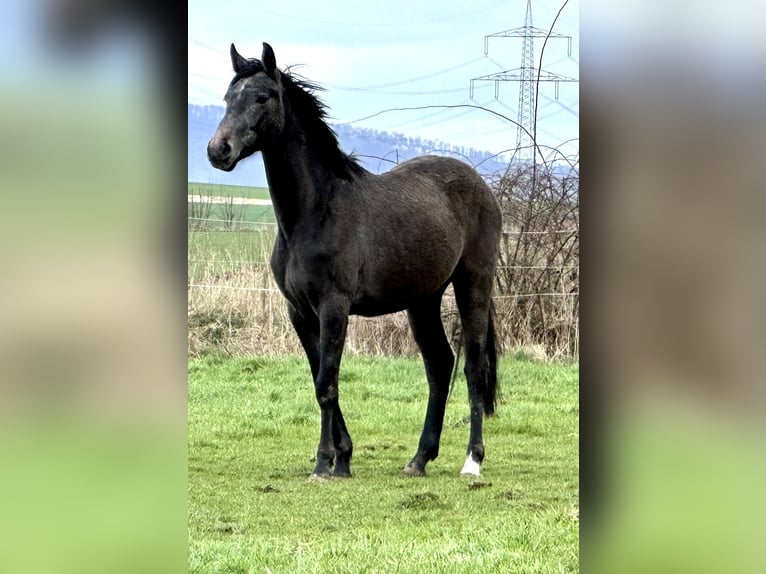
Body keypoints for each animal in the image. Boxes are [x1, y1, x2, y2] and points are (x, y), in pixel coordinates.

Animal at [208, 41, 504, 482]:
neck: (315, 212)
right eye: (229, 98)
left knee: (473, 367)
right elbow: (321, 380)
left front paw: (323, 464)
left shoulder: (334, 307)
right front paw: (342, 458)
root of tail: (480, 185)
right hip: (423, 299)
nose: (218, 151)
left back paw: (472, 460)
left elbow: (327, 383)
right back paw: (419, 459)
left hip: (473, 285)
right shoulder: (300, 312)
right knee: (439, 365)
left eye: (263, 97)